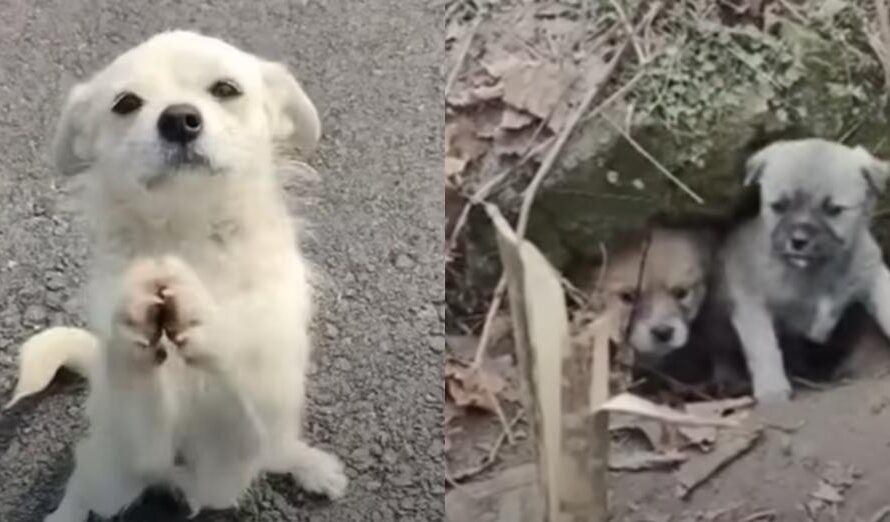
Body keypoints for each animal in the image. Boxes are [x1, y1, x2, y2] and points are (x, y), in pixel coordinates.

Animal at [6, 30, 346, 516]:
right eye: (126, 103)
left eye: (226, 89)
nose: (179, 119)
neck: (191, 243)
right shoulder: (145, 446)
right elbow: (137, 384)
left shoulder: (258, 420)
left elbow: (242, 376)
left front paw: (210, 324)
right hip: (110, 476)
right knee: (83, 486)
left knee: (282, 450)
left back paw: (311, 466)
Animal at [720, 136, 888, 400]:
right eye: (779, 206)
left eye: (833, 210)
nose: (798, 241)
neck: (818, 271)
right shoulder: (750, 300)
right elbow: (763, 345)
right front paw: (772, 388)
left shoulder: (874, 277)